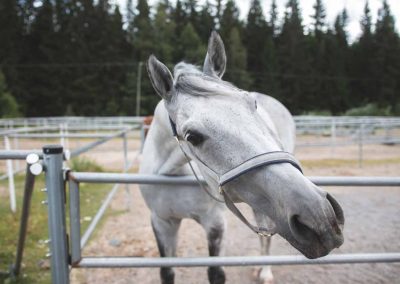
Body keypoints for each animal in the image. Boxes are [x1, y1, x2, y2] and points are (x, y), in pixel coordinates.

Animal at [138, 31, 344, 284]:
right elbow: (167, 272)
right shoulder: (161, 222)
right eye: (192, 137)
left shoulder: (215, 222)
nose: (320, 216)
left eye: (252, 104)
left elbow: (216, 273)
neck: (173, 174)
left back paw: (264, 271)